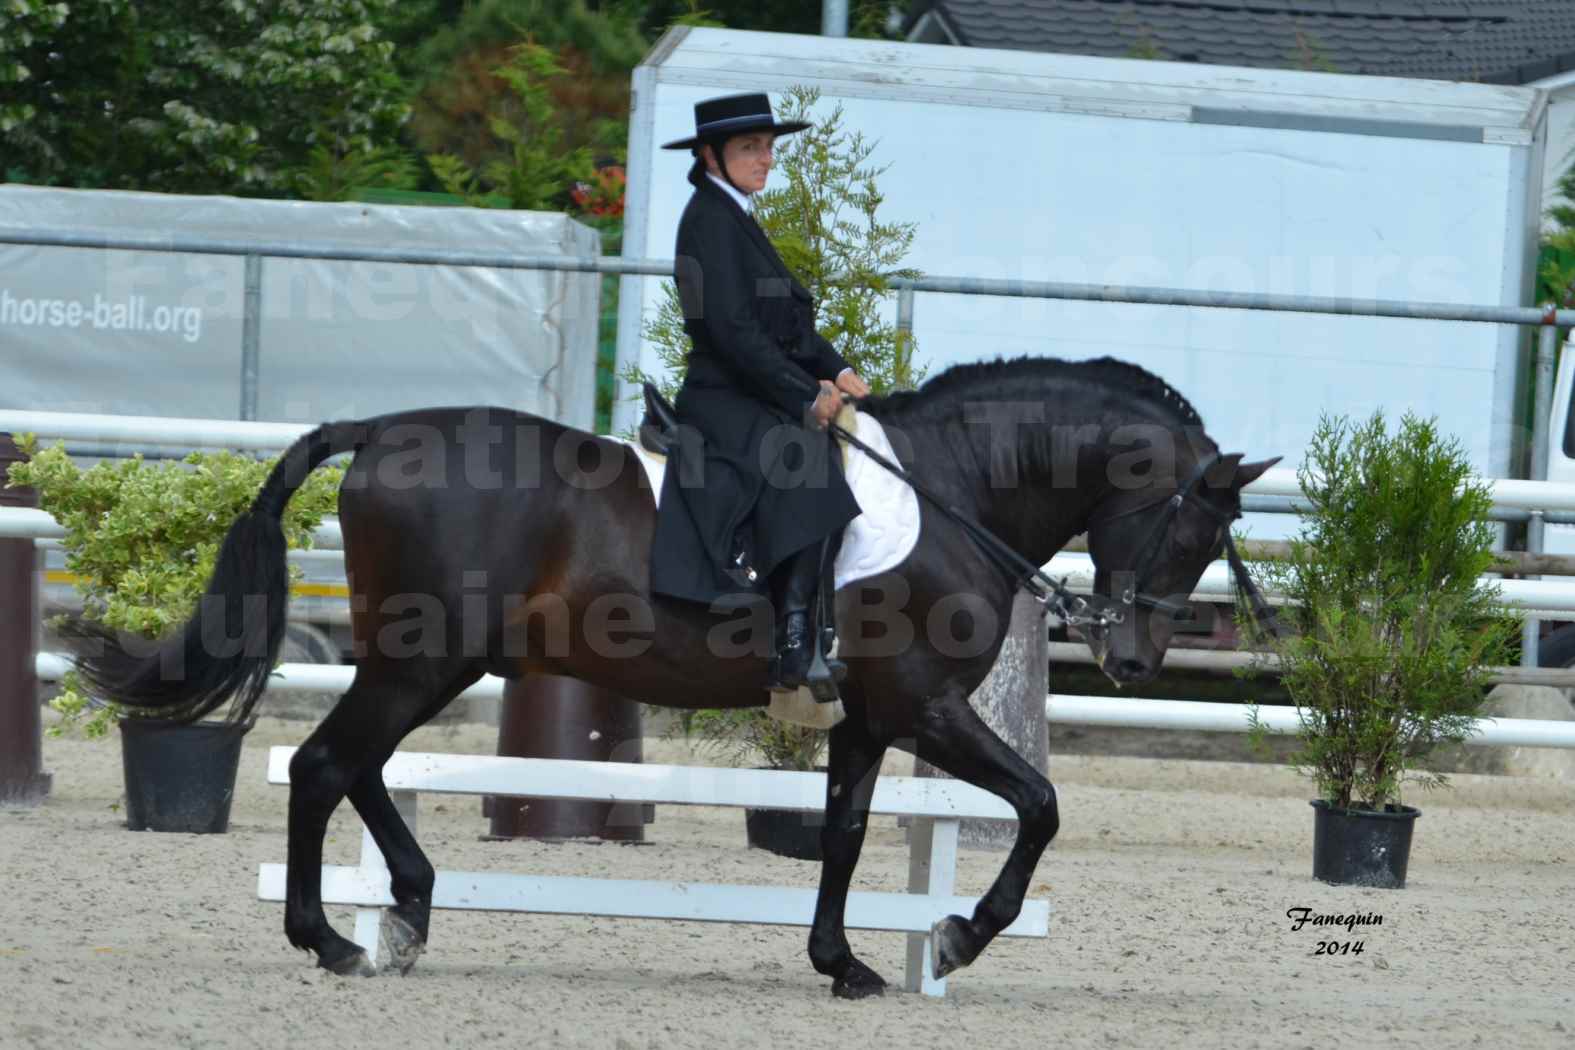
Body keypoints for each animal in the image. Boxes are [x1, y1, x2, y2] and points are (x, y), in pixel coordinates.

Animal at [70, 357, 1278, 1001]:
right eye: (1190, 532)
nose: (1132, 660)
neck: (953, 493)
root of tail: (380, 429)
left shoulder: (866, 720)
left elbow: (843, 836)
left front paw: (845, 963)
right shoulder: (923, 707)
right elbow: (1040, 803)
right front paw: (956, 936)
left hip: (432, 661)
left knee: (354, 766)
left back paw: (405, 909)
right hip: (423, 658)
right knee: (328, 765)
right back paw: (333, 940)